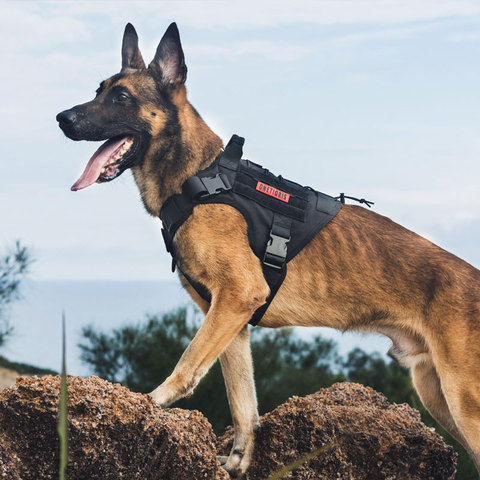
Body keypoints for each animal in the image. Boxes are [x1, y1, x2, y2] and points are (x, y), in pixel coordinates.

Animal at [57, 23, 480, 480]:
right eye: (98, 90)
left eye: (121, 97)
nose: (62, 119)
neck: (198, 179)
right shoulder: (230, 318)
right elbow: (242, 400)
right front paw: (239, 460)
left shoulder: (237, 297)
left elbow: (188, 364)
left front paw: (150, 405)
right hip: (437, 394)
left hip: (463, 399)